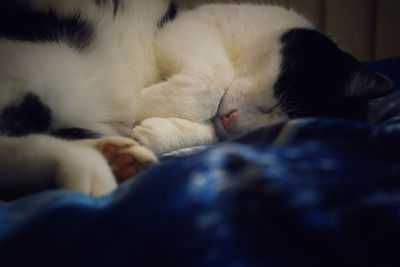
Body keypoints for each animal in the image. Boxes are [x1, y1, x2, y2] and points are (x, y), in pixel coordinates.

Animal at [0, 0, 394, 199]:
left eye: (278, 118)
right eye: (272, 103)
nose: (234, 120)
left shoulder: (218, 128)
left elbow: (207, 131)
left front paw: (153, 131)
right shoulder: (187, 27)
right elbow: (211, 82)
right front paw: (141, 102)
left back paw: (109, 159)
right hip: (51, 63)